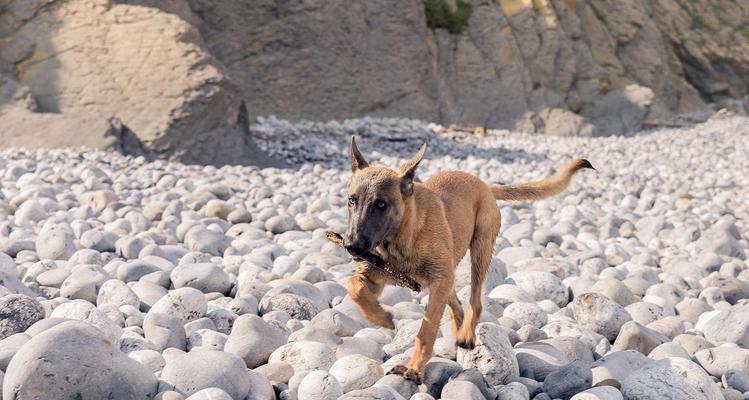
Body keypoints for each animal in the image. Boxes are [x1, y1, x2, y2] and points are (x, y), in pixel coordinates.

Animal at [342, 136, 592, 382]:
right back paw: (458, 332)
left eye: (381, 204)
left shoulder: (439, 281)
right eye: (351, 201)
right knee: (458, 306)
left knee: (475, 302)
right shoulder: (379, 278)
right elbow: (354, 286)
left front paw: (414, 369)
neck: (402, 236)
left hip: (479, 253)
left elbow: (426, 331)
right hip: (450, 277)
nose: (350, 245)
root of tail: (485, 186)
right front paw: (381, 318)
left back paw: (466, 336)